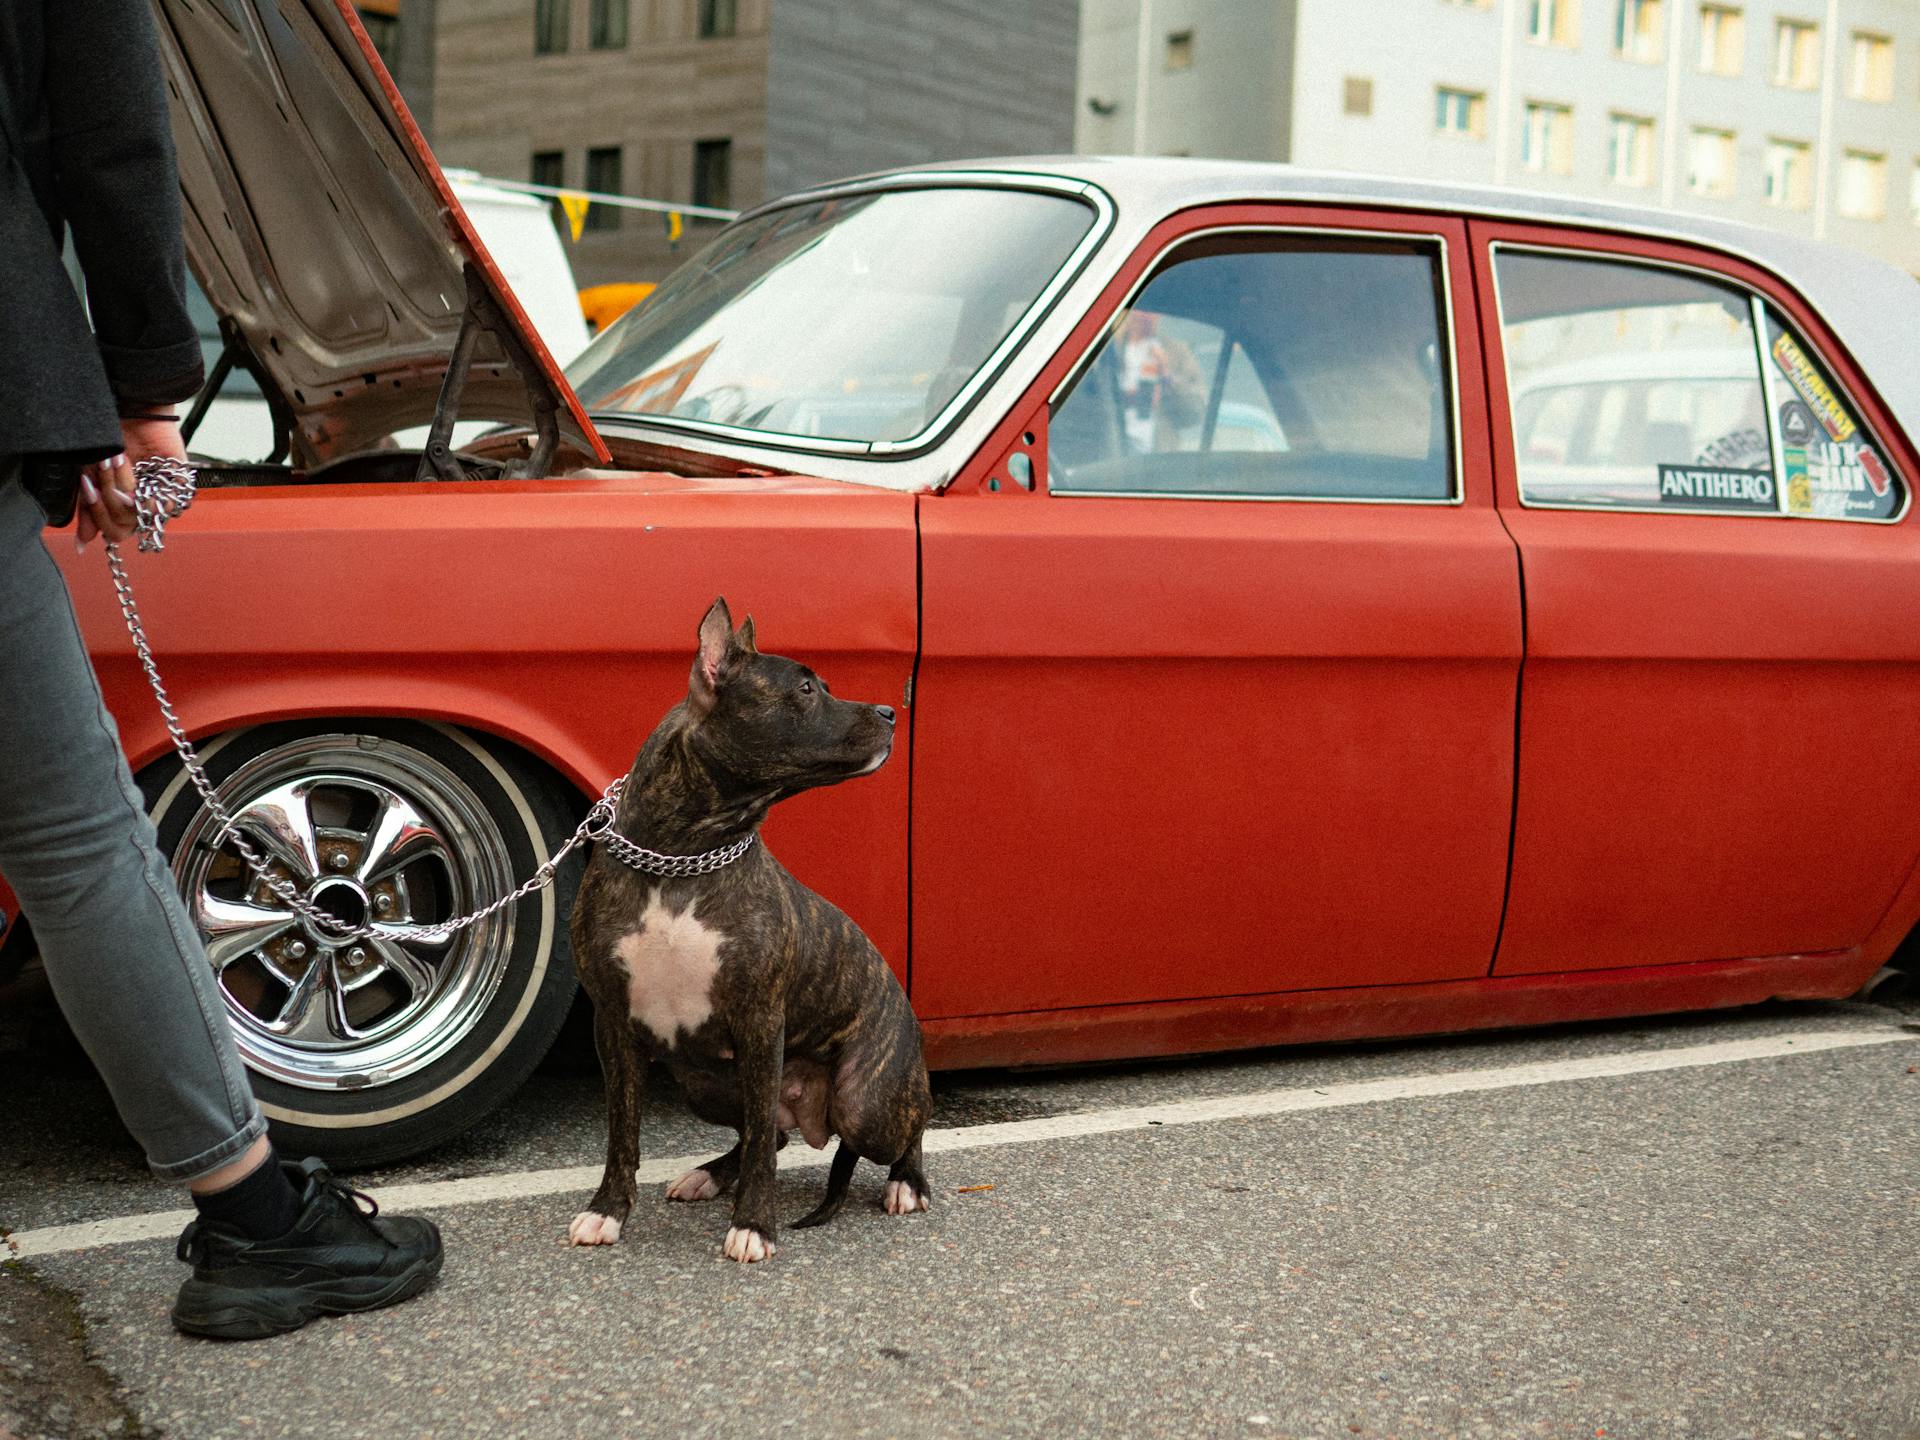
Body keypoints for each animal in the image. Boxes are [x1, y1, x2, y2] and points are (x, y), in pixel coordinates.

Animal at [564, 599, 933, 1259]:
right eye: (806, 688)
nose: (892, 712)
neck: (684, 854)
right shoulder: (614, 1022)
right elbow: (621, 1133)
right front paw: (607, 1212)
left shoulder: (761, 1019)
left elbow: (761, 1139)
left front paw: (753, 1224)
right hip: (704, 1083)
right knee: (773, 1133)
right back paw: (709, 1173)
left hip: (866, 1101)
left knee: (907, 1125)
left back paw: (907, 1183)